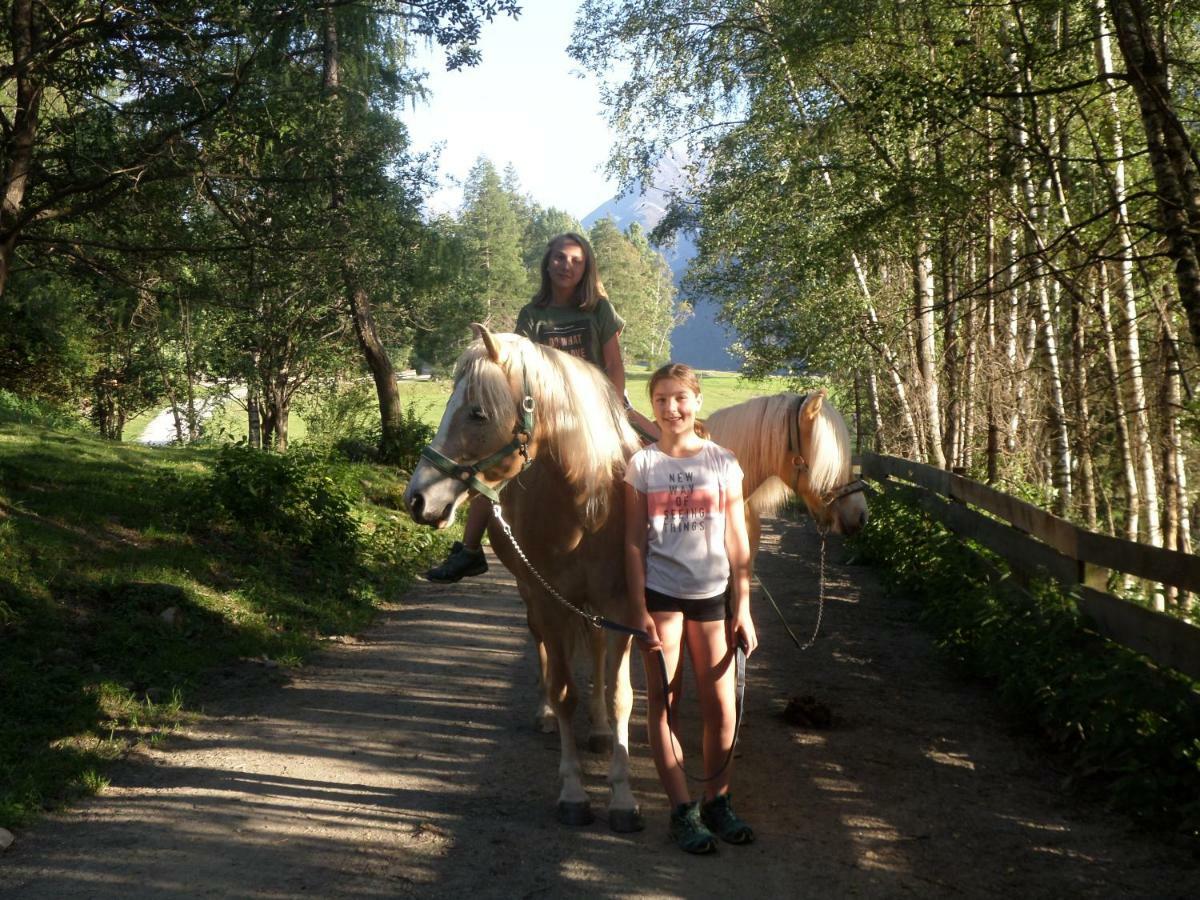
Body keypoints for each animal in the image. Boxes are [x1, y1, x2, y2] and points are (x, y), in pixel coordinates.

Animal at [403, 324, 648, 830]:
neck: (587, 508)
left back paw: (597, 730)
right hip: (533, 595)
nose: (416, 499)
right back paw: (546, 714)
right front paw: (573, 791)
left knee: (595, 650)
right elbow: (564, 689)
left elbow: (620, 696)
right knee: (542, 649)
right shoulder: (551, 601)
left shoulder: (621, 606)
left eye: (477, 412)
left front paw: (622, 796)